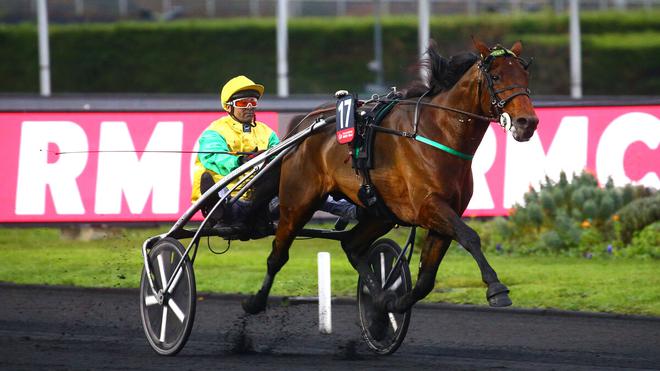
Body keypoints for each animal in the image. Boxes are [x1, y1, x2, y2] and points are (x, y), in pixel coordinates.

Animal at [241, 39, 536, 326]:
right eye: (496, 76)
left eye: (525, 76)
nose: (528, 122)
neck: (437, 133)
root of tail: (303, 127)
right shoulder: (428, 207)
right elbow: (470, 236)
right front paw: (497, 289)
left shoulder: (442, 215)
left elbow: (426, 280)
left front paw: (391, 303)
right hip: (298, 201)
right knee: (277, 255)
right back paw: (255, 301)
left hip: (379, 213)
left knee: (351, 245)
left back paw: (378, 296)